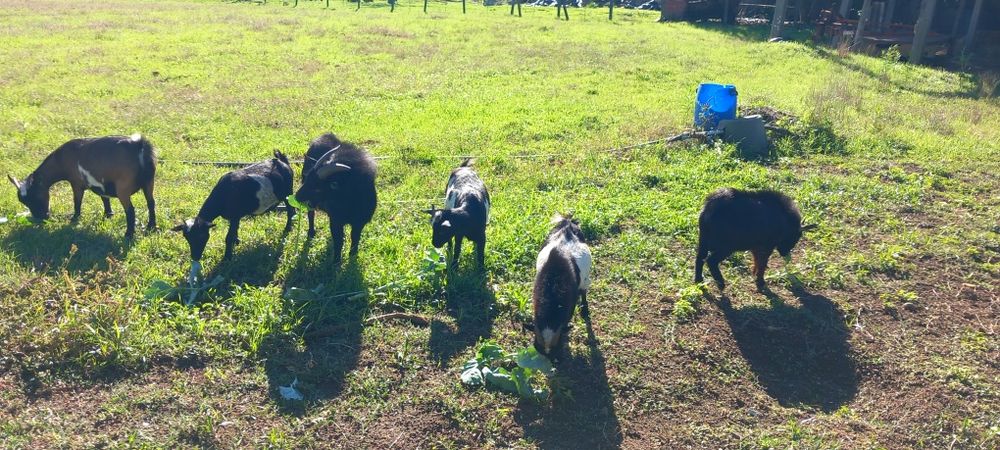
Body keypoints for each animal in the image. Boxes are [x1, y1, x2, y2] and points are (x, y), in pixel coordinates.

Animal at [7, 134, 157, 238]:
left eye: (35, 197)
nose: (42, 218)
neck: (61, 159)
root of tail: (139, 146)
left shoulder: (76, 183)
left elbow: (77, 201)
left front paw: (74, 219)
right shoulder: (101, 184)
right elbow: (104, 198)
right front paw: (107, 215)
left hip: (123, 188)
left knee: (130, 210)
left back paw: (128, 235)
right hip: (149, 182)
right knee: (151, 203)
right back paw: (151, 227)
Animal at [172, 151, 295, 281]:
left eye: (201, 236)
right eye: (186, 237)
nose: (195, 257)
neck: (223, 195)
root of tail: (282, 161)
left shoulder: (235, 216)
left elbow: (228, 237)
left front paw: (227, 258)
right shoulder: (235, 217)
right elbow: (234, 231)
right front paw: (236, 242)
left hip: (288, 194)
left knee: (291, 211)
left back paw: (287, 228)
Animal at [296, 133, 377, 263]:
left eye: (318, 187)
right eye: (308, 178)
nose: (297, 196)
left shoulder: (360, 222)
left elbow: (355, 237)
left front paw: (352, 254)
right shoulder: (335, 220)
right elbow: (338, 240)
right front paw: (336, 261)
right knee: (311, 214)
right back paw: (311, 232)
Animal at [532, 214, 592, 360]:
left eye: (557, 347)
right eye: (537, 347)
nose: (552, 361)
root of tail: (568, 224)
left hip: (586, 278)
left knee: (584, 289)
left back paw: (585, 310)